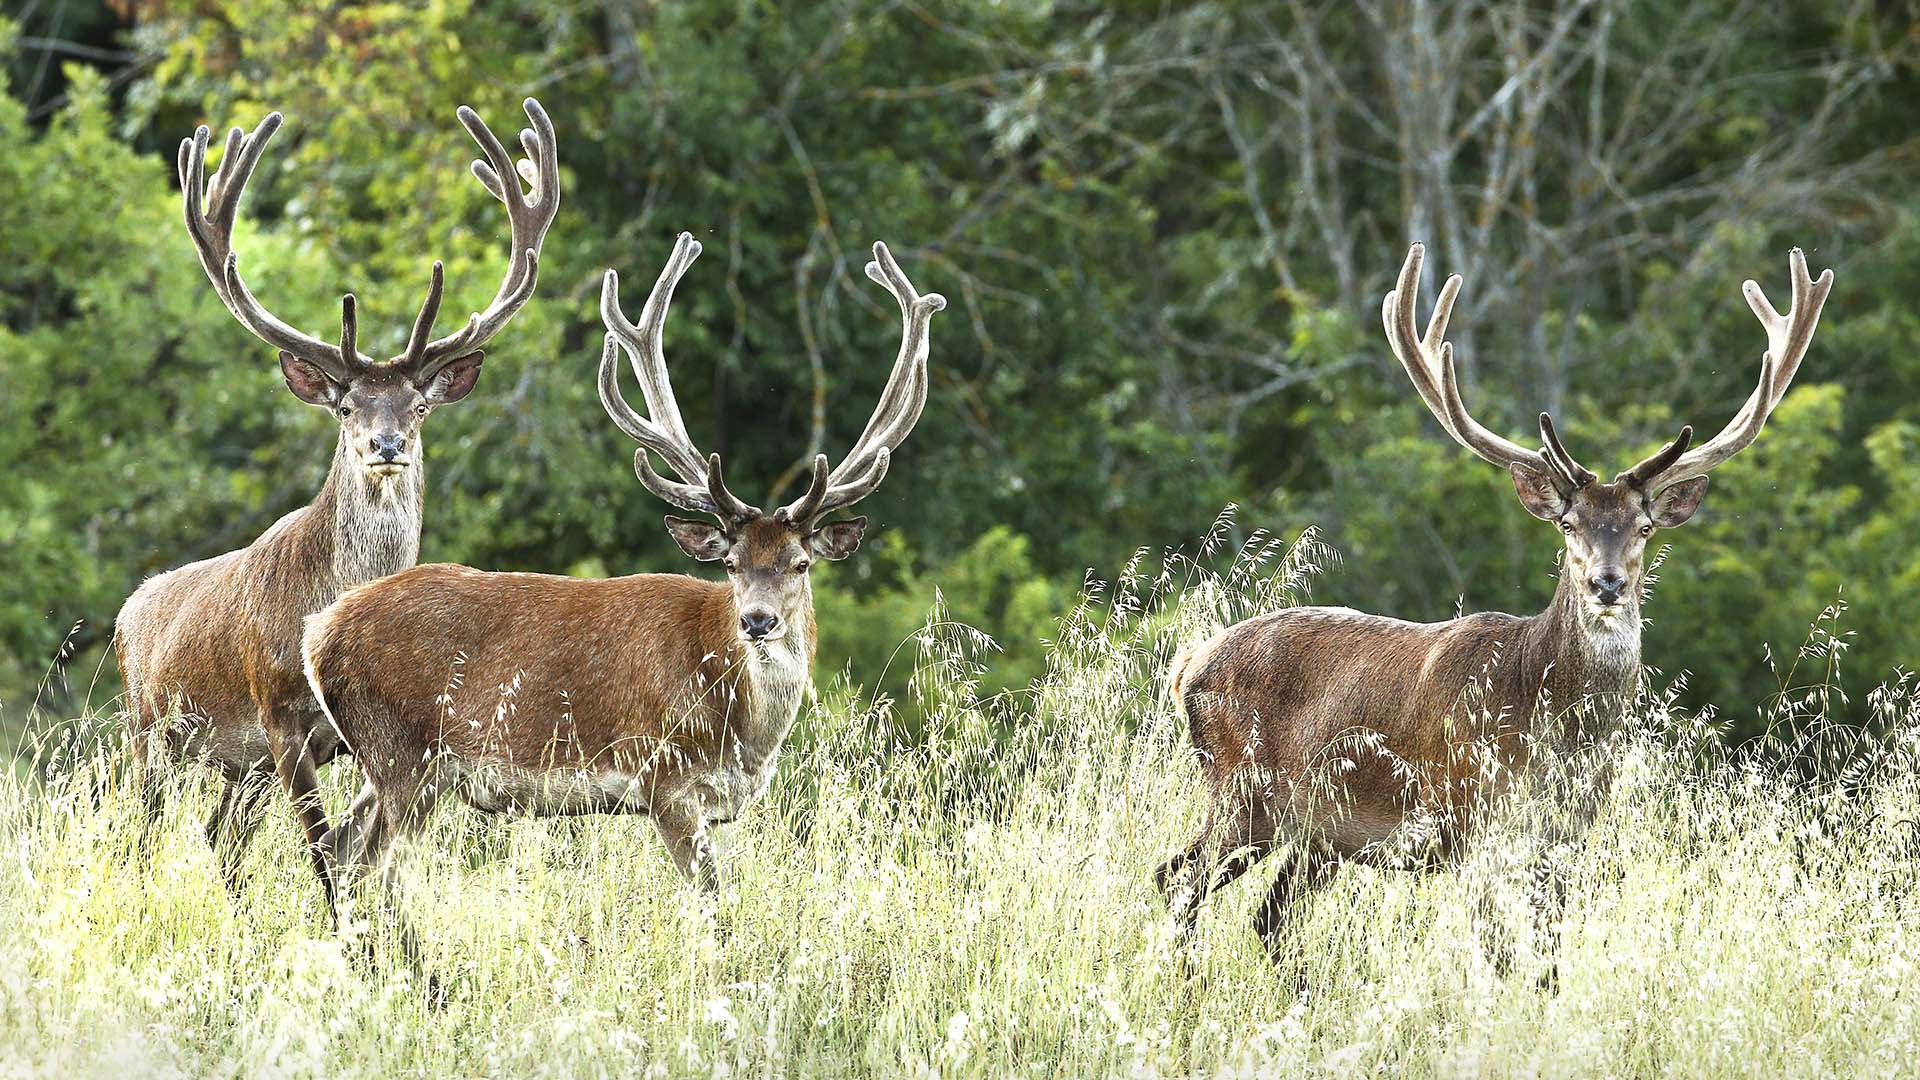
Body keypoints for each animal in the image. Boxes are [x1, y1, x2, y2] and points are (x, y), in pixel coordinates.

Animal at [117, 98, 560, 899]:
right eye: (347, 406)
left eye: (419, 404)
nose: (386, 443)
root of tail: (129, 610)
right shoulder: (276, 713)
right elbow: (324, 850)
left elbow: (350, 851)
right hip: (148, 730)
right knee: (145, 832)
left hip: (237, 765)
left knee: (220, 837)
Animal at [299, 231, 944, 953]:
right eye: (731, 564)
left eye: (801, 563)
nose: (757, 620)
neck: (741, 725)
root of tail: (317, 632)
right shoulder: (664, 778)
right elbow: (714, 909)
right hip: (401, 752)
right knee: (362, 864)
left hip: (391, 764)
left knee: (340, 849)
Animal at [1152, 242, 1827, 949]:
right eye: (1569, 524)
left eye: (1643, 527)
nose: (1606, 583)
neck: (1556, 731)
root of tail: (1185, 666)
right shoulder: (1477, 824)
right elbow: (1497, 949)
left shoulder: (1564, 838)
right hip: (1238, 788)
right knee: (1175, 878)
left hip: (1318, 832)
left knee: (1269, 913)